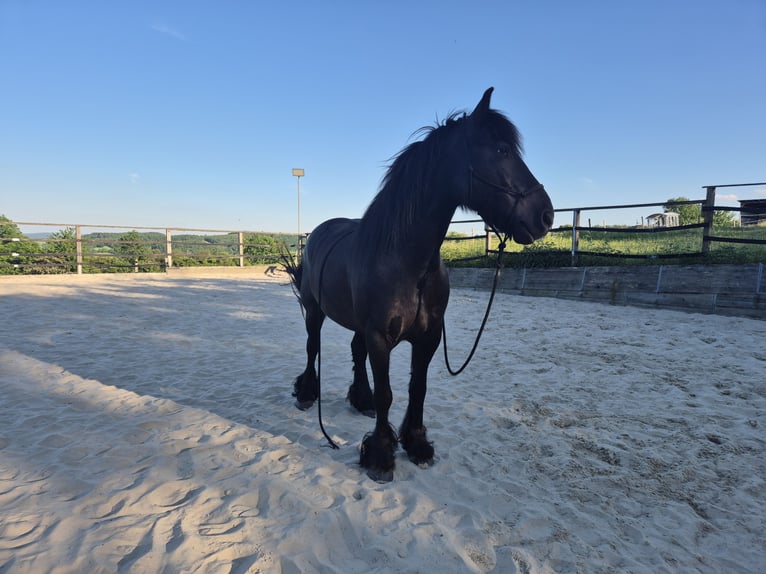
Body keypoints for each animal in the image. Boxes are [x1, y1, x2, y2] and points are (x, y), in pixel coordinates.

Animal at [285, 88, 554, 482]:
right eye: (502, 150)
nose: (545, 215)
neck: (409, 264)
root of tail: (318, 231)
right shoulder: (380, 337)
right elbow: (388, 393)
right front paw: (381, 455)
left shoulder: (427, 338)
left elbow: (418, 388)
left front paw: (416, 444)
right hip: (314, 310)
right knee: (311, 346)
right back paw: (306, 394)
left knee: (355, 351)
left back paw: (361, 400)